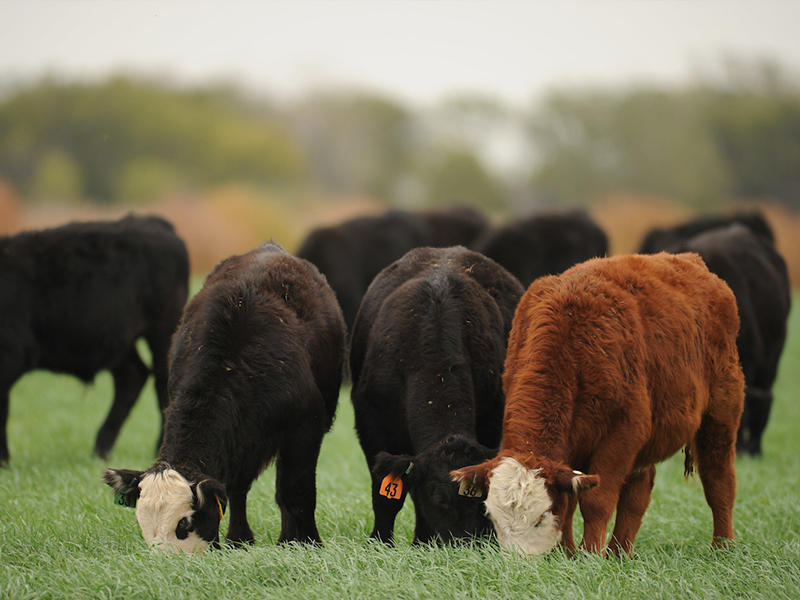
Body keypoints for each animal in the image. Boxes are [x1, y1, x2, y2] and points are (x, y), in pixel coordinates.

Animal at [0, 214, 189, 465]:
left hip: (163, 328)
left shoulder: (9, 354)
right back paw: (101, 450)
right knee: (132, 378)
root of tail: (150, 220)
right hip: (117, 340)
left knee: (162, 384)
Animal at [104, 242, 345, 552]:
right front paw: (238, 539)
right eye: (142, 523)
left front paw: (306, 542)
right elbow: (234, 490)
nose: (164, 561)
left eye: (183, 524)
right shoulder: (240, 441)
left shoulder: (305, 429)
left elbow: (296, 491)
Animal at [350, 246, 524, 544]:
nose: (469, 544)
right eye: (441, 500)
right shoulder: (372, 424)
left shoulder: (492, 419)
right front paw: (381, 541)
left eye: (481, 497)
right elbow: (386, 496)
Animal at [452, 253, 745, 557]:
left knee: (719, 481)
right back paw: (619, 553)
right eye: (492, 516)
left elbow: (596, 501)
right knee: (637, 495)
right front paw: (567, 554)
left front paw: (590, 554)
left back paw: (723, 547)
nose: (518, 562)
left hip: (720, 416)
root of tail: (691, 261)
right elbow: (570, 503)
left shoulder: (622, 435)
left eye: (540, 517)